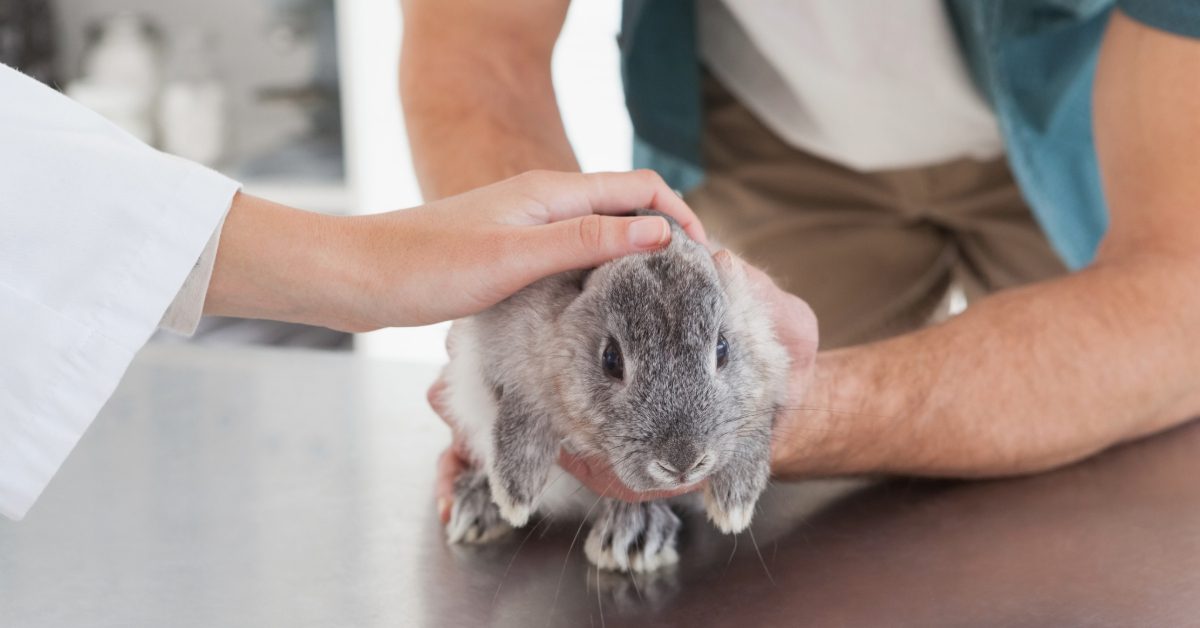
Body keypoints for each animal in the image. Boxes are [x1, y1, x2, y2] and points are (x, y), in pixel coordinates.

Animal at [440, 212, 790, 573]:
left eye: (722, 348)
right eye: (611, 359)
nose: (682, 462)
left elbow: (754, 425)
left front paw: (734, 507)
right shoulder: (512, 357)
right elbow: (522, 413)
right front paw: (514, 496)